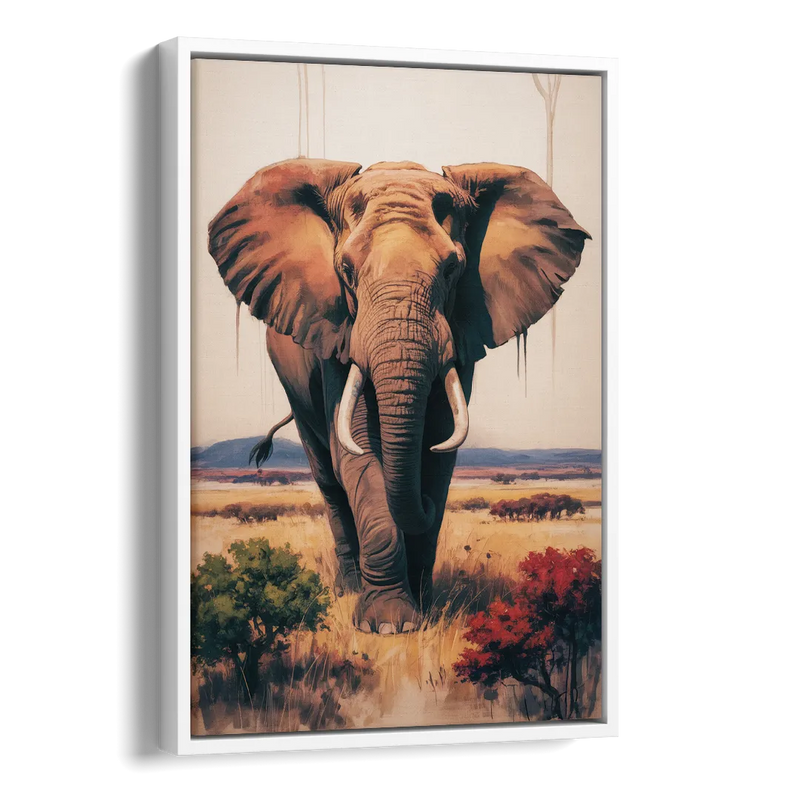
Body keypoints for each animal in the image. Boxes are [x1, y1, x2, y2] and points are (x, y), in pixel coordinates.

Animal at [207, 158, 590, 635]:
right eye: (346, 271)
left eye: (452, 269)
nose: (421, 503)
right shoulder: (339, 334)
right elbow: (358, 453)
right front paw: (388, 626)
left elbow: (439, 454)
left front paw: (424, 609)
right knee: (329, 478)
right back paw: (348, 589)